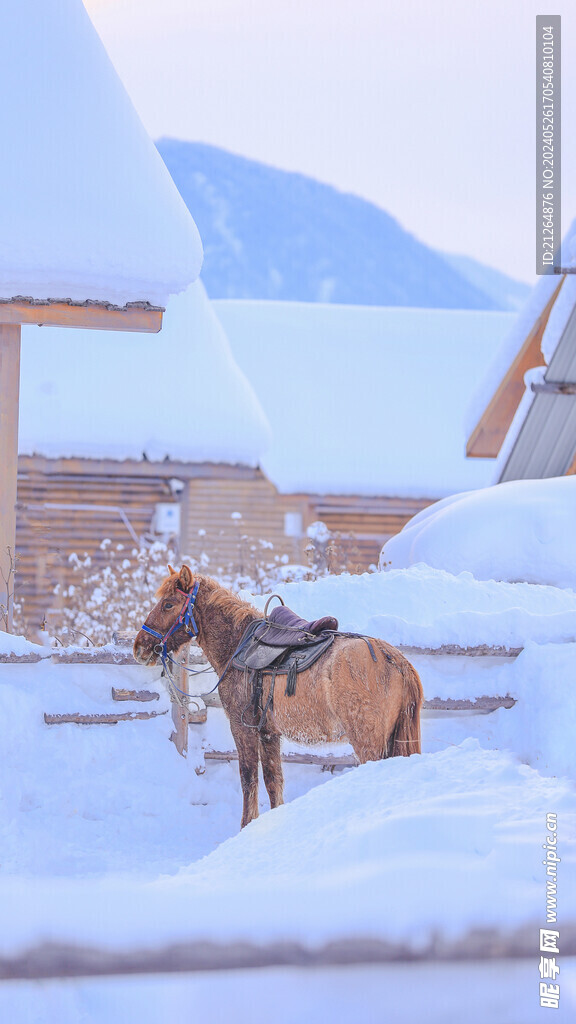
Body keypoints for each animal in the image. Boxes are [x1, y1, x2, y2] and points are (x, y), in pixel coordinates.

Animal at [133, 565, 422, 827]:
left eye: (168, 604)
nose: (139, 647)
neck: (238, 645)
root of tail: (395, 660)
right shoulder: (269, 733)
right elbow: (274, 780)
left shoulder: (243, 727)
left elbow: (248, 777)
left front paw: (246, 826)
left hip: (368, 742)